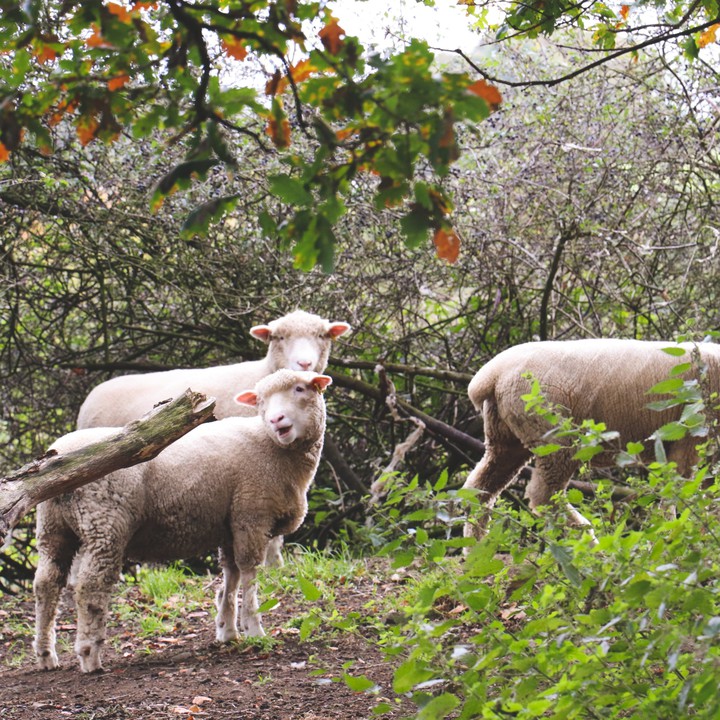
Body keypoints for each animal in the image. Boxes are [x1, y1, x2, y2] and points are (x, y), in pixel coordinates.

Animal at [33, 369, 332, 673]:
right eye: (260, 401)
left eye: (300, 389)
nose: (276, 419)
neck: (272, 445)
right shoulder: (251, 516)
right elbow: (249, 575)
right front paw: (254, 630)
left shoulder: (230, 522)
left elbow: (231, 575)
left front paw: (227, 630)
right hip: (104, 524)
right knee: (90, 587)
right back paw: (89, 655)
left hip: (53, 528)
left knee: (46, 583)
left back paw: (46, 655)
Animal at [76, 309, 350, 566]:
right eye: (279, 337)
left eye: (321, 336)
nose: (304, 364)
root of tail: (90, 398)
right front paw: (270, 564)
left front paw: (276, 565)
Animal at [463, 339, 720, 541]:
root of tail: (491, 376)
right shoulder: (693, 433)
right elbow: (680, 488)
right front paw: (676, 535)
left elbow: (708, 493)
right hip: (554, 432)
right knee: (544, 495)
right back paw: (589, 542)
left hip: (505, 436)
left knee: (481, 487)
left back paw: (475, 548)